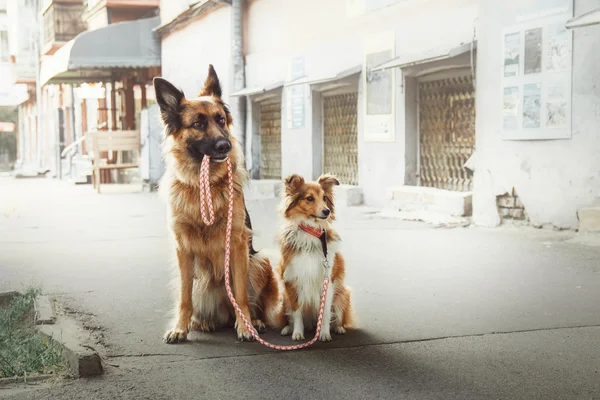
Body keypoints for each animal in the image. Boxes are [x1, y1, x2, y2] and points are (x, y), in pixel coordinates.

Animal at [155, 66, 286, 344]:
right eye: (197, 123)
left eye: (221, 120)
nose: (224, 145)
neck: (203, 185)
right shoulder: (183, 248)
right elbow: (184, 297)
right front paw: (180, 328)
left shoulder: (237, 243)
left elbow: (240, 292)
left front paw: (245, 327)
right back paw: (203, 322)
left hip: (260, 262)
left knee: (246, 299)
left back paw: (255, 322)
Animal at [278, 173, 356, 342]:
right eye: (309, 198)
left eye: (325, 197)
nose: (326, 211)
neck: (311, 231)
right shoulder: (292, 280)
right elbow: (297, 312)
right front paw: (297, 332)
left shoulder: (327, 281)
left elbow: (325, 312)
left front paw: (324, 333)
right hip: (284, 297)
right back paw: (288, 328)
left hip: (343, 294)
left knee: (338, 316)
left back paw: (338, 328)